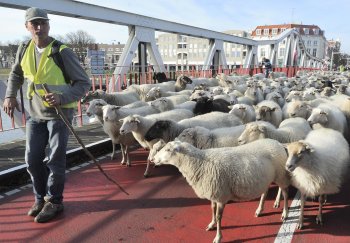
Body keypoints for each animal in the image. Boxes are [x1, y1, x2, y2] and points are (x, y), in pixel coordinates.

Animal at [153, 139, 290, 243]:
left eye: (168, 150)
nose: (153, 159)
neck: (199, 162)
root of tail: (278, 143)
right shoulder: (213, 193)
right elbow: (212, 210)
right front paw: (211, 224)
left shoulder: (221, 196)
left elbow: (219, 217)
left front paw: (218, 237)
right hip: (267, 178)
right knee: (265, 192)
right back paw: (260, 210)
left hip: (281, 174)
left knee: (285, 192)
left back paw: (284, 213)